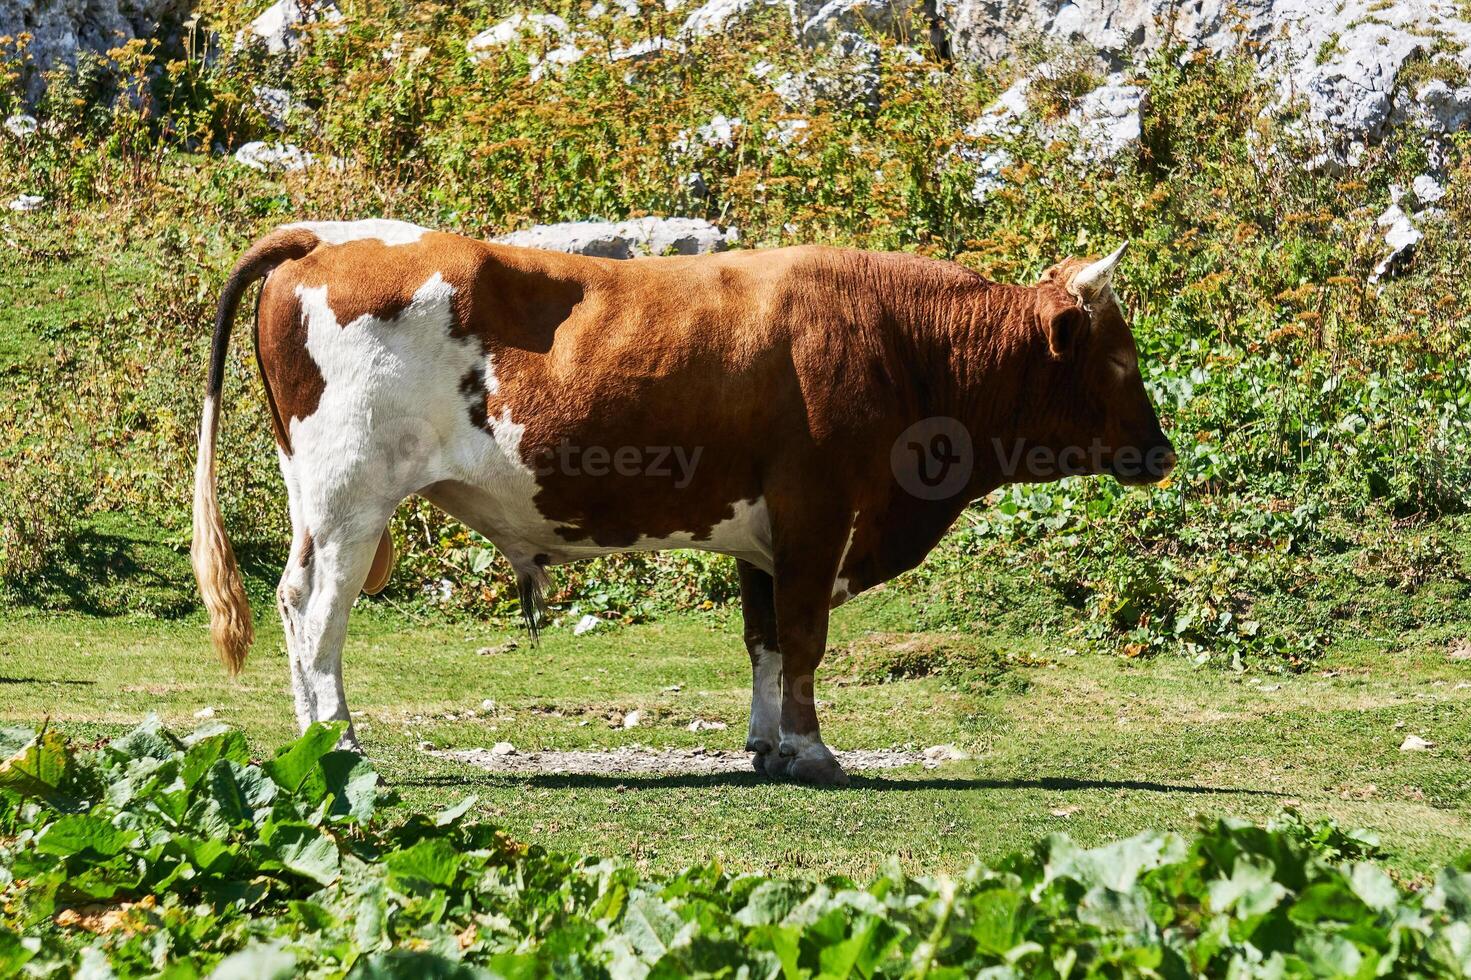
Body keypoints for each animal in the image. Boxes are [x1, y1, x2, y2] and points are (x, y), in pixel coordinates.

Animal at [192, 217, 1170, 782]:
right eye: (1121, 360)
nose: (1160, 453)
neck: (900, 342)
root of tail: (327, 237)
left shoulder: (763, 537)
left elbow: (766, 641)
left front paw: (767, 747)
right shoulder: (817, 514)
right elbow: (806, 640)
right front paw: (814, 751)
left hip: (317, 500)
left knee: (292, 599)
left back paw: (314, 741)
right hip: (351, 496)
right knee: (319, 612)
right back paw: (341, 741)